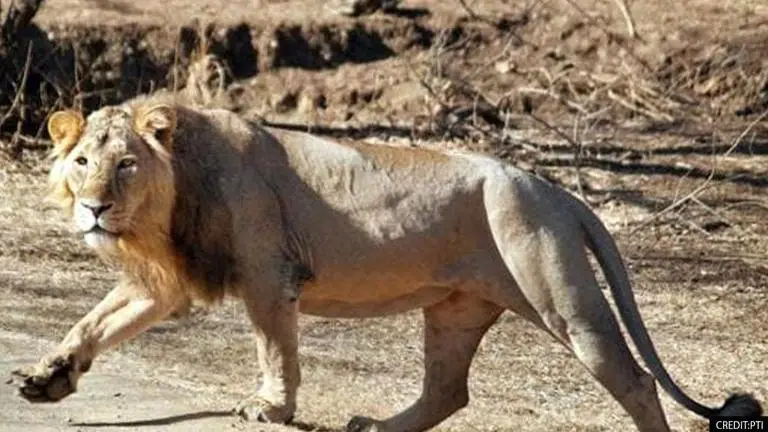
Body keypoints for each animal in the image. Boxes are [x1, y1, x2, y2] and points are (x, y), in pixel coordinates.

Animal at [11, 95, 762, 432]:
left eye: (125, 165)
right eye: (81, 162)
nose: (95, 209)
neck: (164, 208)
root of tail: (556, 189)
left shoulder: (268, 275)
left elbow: (274, 348)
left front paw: (269, 406)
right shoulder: (166, 283)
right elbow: (94, 323)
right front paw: (47, 379)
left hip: (561, 297)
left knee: (635, 380)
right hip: (455, 311)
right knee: (448, 392)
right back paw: (375, 426)